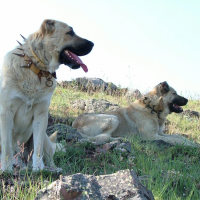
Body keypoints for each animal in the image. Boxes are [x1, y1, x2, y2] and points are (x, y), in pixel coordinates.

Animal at [0, 19, 94, 171]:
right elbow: (7, 146)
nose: (93, 44)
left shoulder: (41, 115)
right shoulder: (6, 112)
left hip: (45, 137)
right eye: (70, 32)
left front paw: (38, 168)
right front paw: (6, 169)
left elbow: (37, 148)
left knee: (48, 156)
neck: (36, 69)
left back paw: (50, 168)